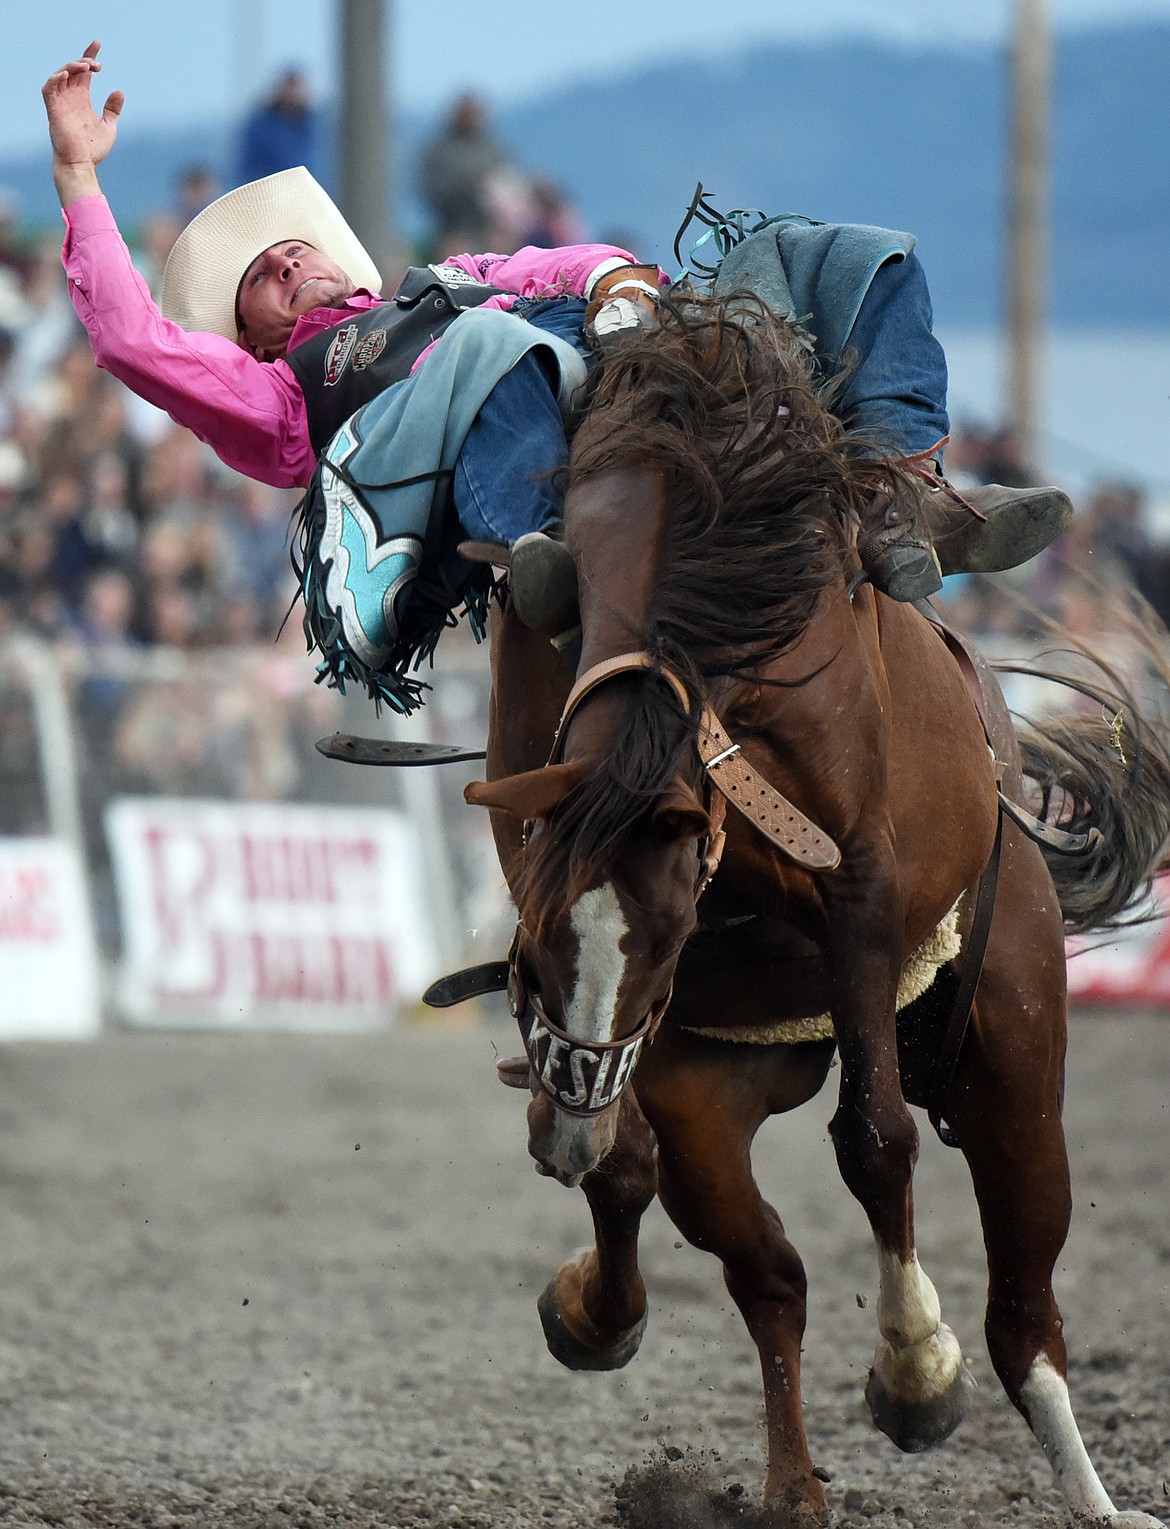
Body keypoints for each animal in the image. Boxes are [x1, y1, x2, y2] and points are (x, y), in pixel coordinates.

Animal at [461, 292, 1162, 1522]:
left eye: (668, 940)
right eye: (536, 946)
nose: (571, 1119)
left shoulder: (863, 887)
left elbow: (875, 1141)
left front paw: (916, 1366)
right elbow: (673, 1189)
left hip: (1012, 1058)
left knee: (1022, 1312)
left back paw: (1077, 1482)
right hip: (715, 1087)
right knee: (761, 1265)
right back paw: (769, 1465)